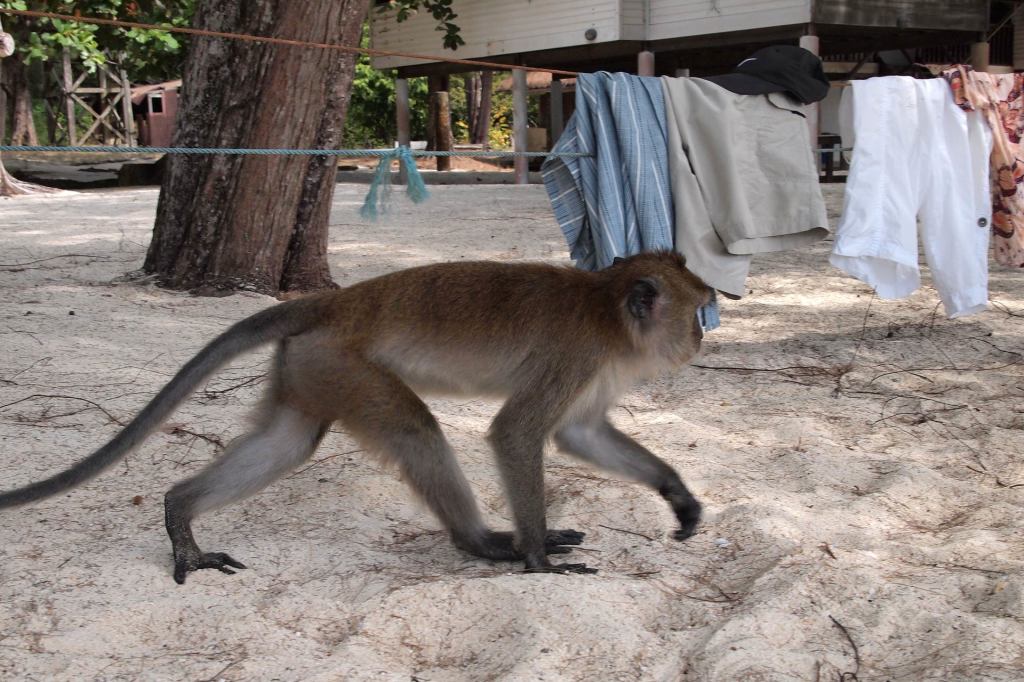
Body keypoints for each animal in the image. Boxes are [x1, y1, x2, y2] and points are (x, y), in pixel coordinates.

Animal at [0, 251, 712, 581]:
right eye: (699, 311)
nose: (702, 338)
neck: (607, 312)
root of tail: (332, 304)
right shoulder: (575, 355)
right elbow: (517, 433)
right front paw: (537, 559)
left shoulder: (594, 371)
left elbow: (579, 433)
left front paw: (677, 494)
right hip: (344, 364)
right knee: (415, 430)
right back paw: (483, 542)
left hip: (309, 367)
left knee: (288, 442)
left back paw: (180, 512)